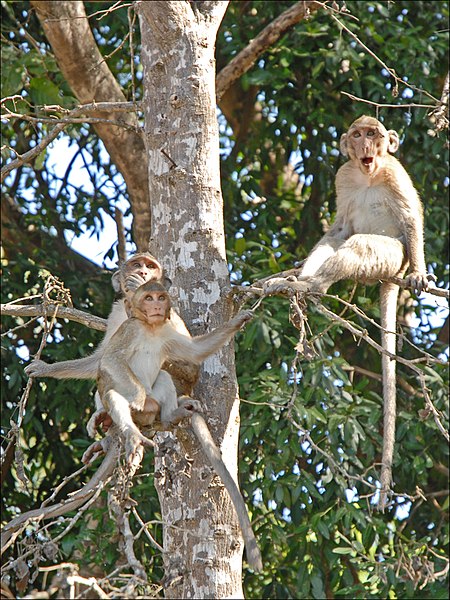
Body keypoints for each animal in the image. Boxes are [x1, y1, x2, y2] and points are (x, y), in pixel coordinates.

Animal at [96, 282, 264, 572]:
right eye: (148, 297)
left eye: (160, 297)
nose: (156, 305)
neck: (151, 329)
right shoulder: (131, 328)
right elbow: (110, 360)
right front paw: (139, 399)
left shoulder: (167, 332)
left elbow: (194, 352)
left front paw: (238, 321)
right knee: (116, 395)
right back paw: (131, 432)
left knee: (163, 376)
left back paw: (169, 415)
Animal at [264, 115, 432, 508]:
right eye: (357, 135)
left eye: (373, 134)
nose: (366, 146)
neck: (369, 174)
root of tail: (391, 277)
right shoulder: (343, 175)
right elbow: (337, 227)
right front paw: (300, 271)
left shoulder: (395, 173)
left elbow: (411, 219)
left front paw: (420, 272)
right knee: (338, 241)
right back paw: (301, 282)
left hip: (391, 260)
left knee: (360, 246)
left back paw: (314, 287)